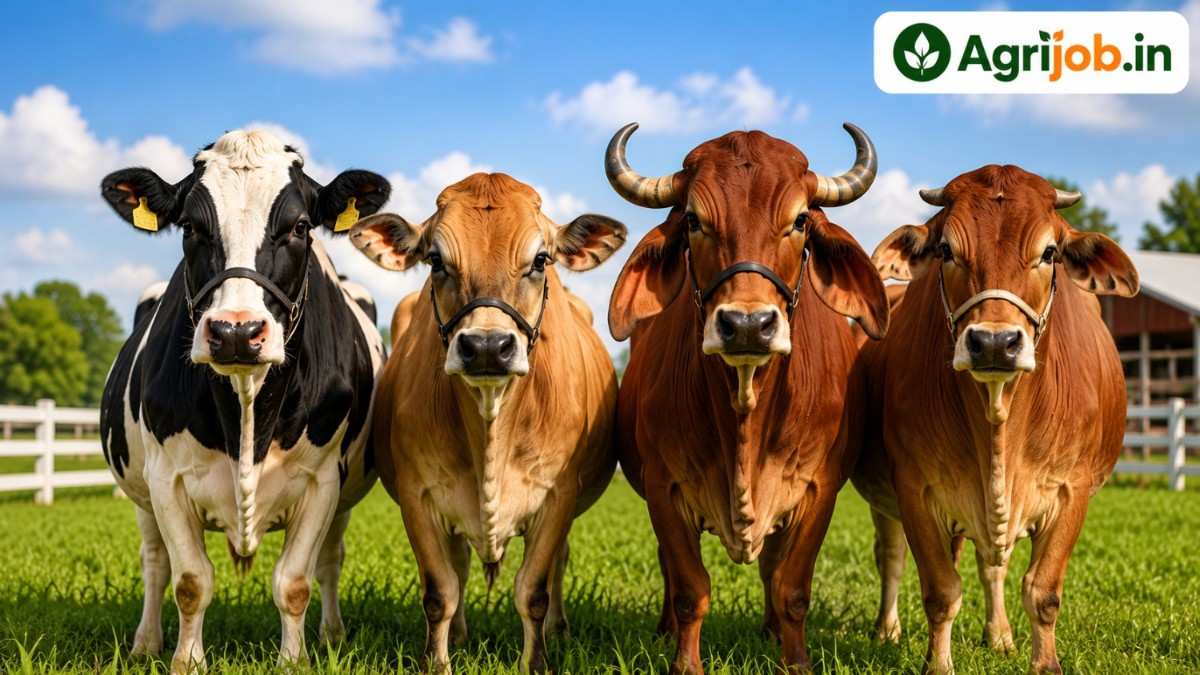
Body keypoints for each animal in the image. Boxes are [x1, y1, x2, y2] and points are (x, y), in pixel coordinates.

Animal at [97, 129, 389, 671]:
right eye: (190, 226)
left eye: (300, 226)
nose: (236, 331)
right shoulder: (165, 478)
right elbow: (191, 581)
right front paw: (187, 661)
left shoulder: (322, 481)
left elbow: (294, 582)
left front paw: (294, 660)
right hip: (141, 489)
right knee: (154, 562)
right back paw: (145, 642)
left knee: (330, 560)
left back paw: (333, 635)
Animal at [347, 172, 627, 673]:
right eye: (436, 260)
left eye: (540, 260)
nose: (486, 347)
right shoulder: (418, 496)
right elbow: (440, 591)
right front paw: (436, 663)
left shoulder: (558, 495)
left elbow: (533, 591)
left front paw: (536, 663)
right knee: (458, 568)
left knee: (558, 566)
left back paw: (559, 628)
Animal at [605, 122, 891, 673]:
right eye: (694, 219)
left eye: (799, 220)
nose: (747, 325)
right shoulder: (663, 486)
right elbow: (690, 589)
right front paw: (685, 663)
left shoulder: (819, 488)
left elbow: (791, 588)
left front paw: (795, 661)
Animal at [851, 165, 1139, 674]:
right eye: (947, 250)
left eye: (1050, 252)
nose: (993, 343)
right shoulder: (914, 488)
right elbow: (941, 591)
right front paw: (937, 665)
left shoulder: (1071, 490)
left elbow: (1042, 592)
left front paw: (1044, 663)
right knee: (892, 556)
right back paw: (887, 630)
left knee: (993, 566)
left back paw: (1000, 635)